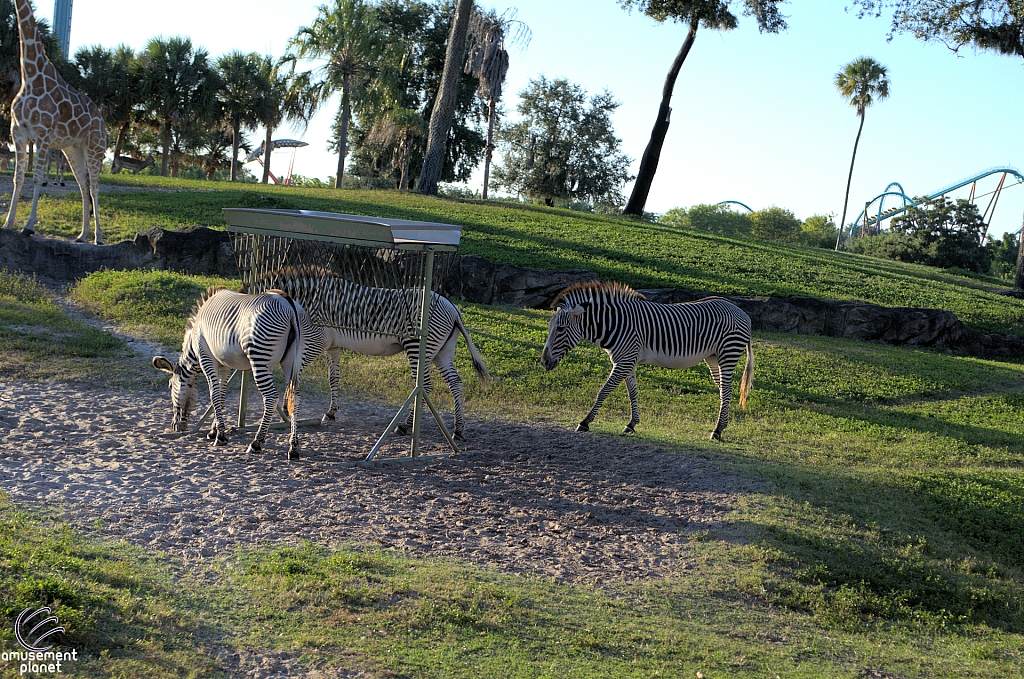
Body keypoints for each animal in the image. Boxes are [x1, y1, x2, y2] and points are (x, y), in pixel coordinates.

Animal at [3, 0, 106, 244]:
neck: (29, 75)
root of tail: (101, 120)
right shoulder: (18, 133)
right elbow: (18, 178)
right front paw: (8, 223)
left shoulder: (42, 135)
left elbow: (37, 178)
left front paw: (29, 226)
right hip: (73, 150)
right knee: (83, 186)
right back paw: (82, 234)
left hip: (95, 148)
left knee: (95, 188)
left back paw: (98, 237)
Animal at [149, 288, 319, 462]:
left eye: (170, 386)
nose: (175, 427)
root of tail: (288, 303)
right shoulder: (224, 365)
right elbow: (221, 396)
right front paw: (214, 430)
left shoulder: (206, 357)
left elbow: (214, 395)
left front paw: (220, 436)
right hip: (292, 361)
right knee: (295, 398)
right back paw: (293, 447)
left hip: (260, 357)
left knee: (271, 398)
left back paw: (256, 442)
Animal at [247, 268, 487, 444]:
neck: (310, 301)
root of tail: (453, 309)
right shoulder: (332, 346)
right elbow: (333, 378)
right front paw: (331, 412)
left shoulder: (317, 340)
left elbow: (296, 372)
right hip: (442, 352)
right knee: (456, 383)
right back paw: (458, 429)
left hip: (418, 348)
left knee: (425, 386)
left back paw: (405, 426)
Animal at [544, 280, 753, 440]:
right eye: (549, 326)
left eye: (560, 329)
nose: (544, 362)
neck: (615, 324)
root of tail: (742, 312)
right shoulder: (627, 361)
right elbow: (632, 392)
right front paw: (631, 424)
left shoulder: (625, 360)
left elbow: (603, 391)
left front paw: (585, 422)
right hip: (712, 357)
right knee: (723, 390)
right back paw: (721, 427)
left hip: (728, 353)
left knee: (727, 390)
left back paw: (717, 431)